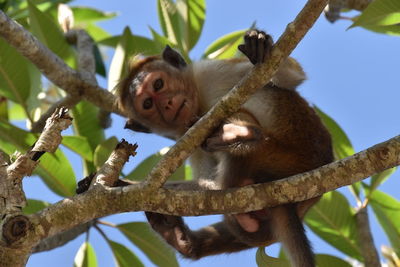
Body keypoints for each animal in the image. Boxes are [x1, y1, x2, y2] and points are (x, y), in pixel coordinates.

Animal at [117, 29, 332, 267]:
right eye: (147, 104)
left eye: (158, 84)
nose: (167, 104)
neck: (199, 102)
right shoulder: (187, 137)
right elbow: (210, 188)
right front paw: (123, 184)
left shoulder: (210, 72)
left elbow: (293, 76)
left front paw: (259, 45)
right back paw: (185, 240)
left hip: (288, 150)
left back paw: (241, 134)